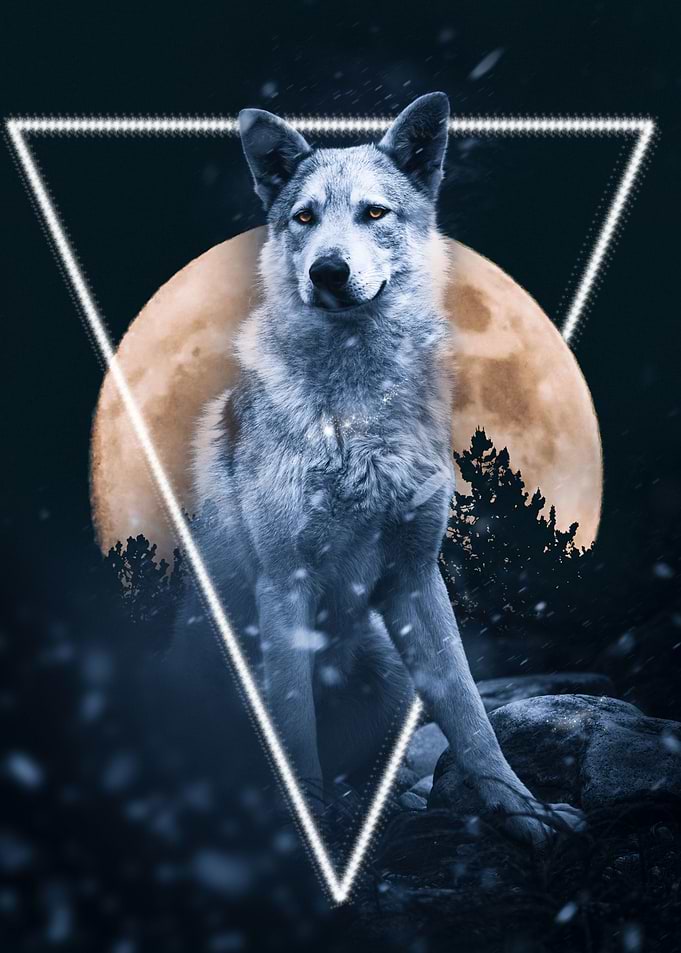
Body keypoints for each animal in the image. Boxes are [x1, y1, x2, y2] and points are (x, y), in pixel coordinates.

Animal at [174, 93, 583, 844]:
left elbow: (471, 715)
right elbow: (294, 729)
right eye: (305, 217)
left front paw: (523, 809)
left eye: (374, 213)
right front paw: (305, 832)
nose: (328, 271)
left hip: (389, 670)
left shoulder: (415, 577)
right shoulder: (285, 587)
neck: (356, 416)